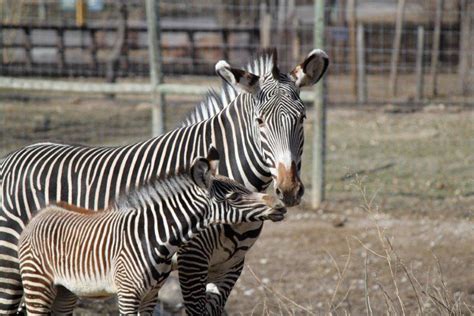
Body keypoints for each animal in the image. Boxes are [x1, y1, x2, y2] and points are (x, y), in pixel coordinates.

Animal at [17, 149, 286, 316]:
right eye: (233, 197)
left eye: (243, 188)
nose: (281, 206)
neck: (156, 237)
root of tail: (41, 213)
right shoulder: (127, 293)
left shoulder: (151, 295)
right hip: (37, 283)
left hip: (65, 290)